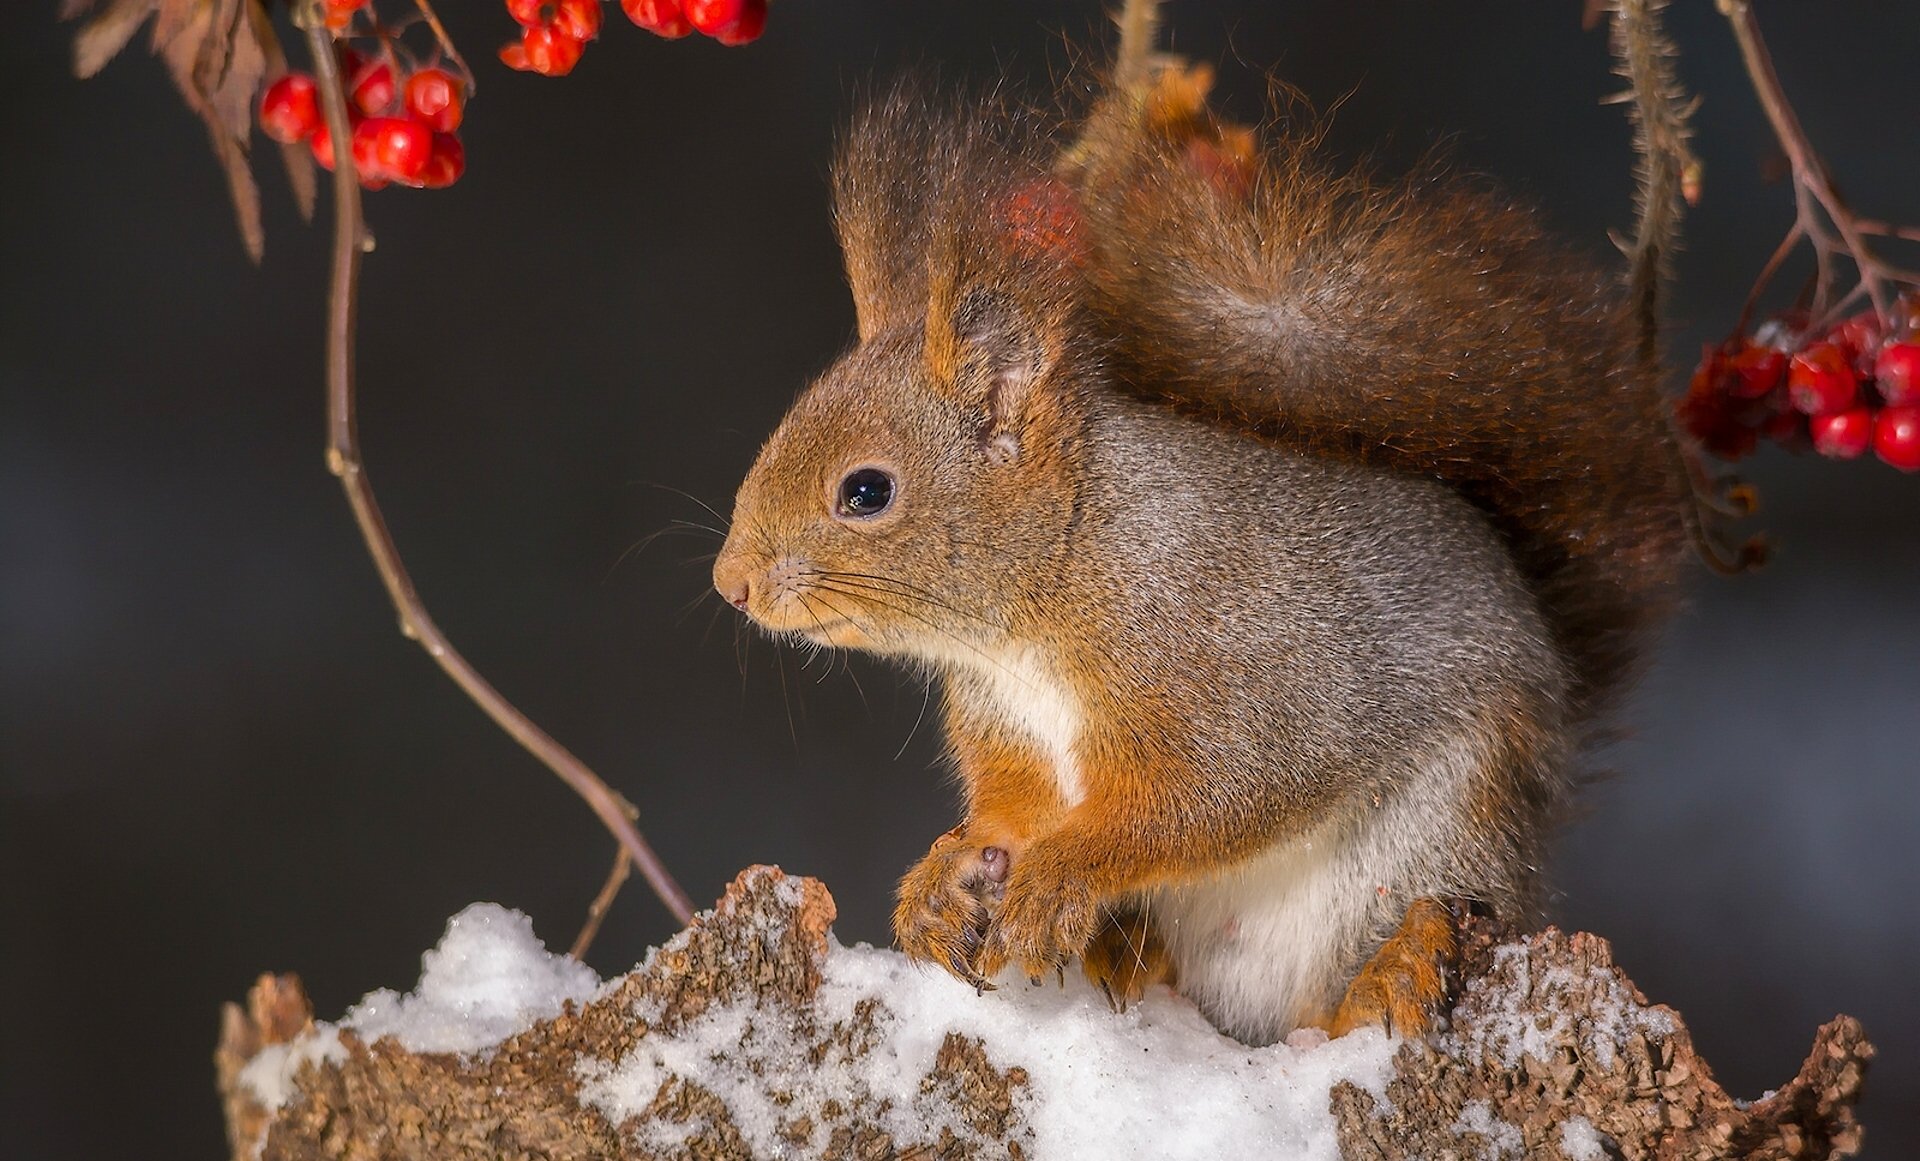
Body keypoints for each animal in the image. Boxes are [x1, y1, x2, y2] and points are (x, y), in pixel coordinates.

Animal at [711, 1, 1691, 1045]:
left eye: (866, 492)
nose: (732, 582)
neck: (1061, 575)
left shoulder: (1234, 678)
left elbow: (1208, 799)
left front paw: (1065, 873)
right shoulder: (1013, 730)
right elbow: (1013, 810)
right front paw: (947, 871)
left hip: (1437, 837)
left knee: (1379, 955)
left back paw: (1388, 973)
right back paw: (1124, 950)